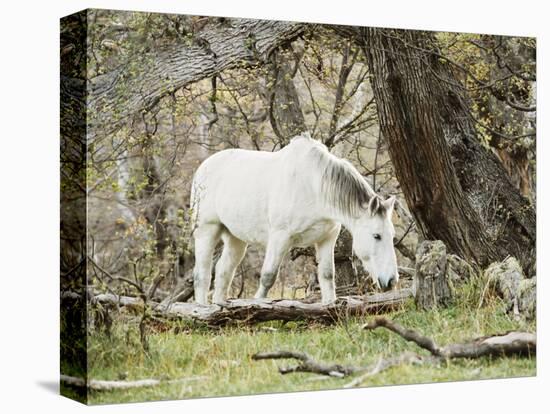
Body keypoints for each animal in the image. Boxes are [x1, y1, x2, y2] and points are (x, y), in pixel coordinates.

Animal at [192, 133, 398, 304]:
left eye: (392, 236)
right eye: (376, 236)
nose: (391, 281)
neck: (313, 185)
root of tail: (203, 167)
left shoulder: (327, 238)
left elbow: (327, 275)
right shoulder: (280, 238)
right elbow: (268, 277)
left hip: (236, 239)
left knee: (223, 270)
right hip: (207, 230)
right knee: (202, 274)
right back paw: (202, 309)